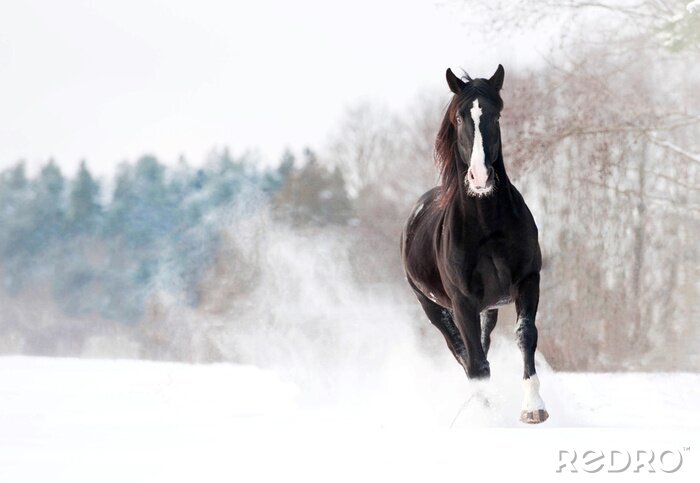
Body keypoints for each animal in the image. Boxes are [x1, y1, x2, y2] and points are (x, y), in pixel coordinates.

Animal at [400, 65, 548, 424]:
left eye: (496, 115)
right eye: (458, 117)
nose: (480, 179)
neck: (486, 227)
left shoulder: (528, 281)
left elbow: (526, 335)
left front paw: (533, 408)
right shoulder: (462, 302)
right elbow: (477, 366)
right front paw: (489, 418)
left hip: (487, 310)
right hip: (434, 309)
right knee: (465, 356)